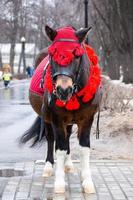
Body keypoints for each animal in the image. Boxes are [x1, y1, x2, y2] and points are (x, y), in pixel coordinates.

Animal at [20, 24, 102, 194]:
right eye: (53, 55)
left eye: (76, 56)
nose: (64, 90)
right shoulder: (56, 119)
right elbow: (60, 147)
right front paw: (59, 183)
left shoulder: (87, 119)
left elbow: (84, 148)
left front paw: (87, 181)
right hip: (47, 118)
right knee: (52, 139)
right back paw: (49, 166)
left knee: (68, 135)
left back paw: (68, 164)